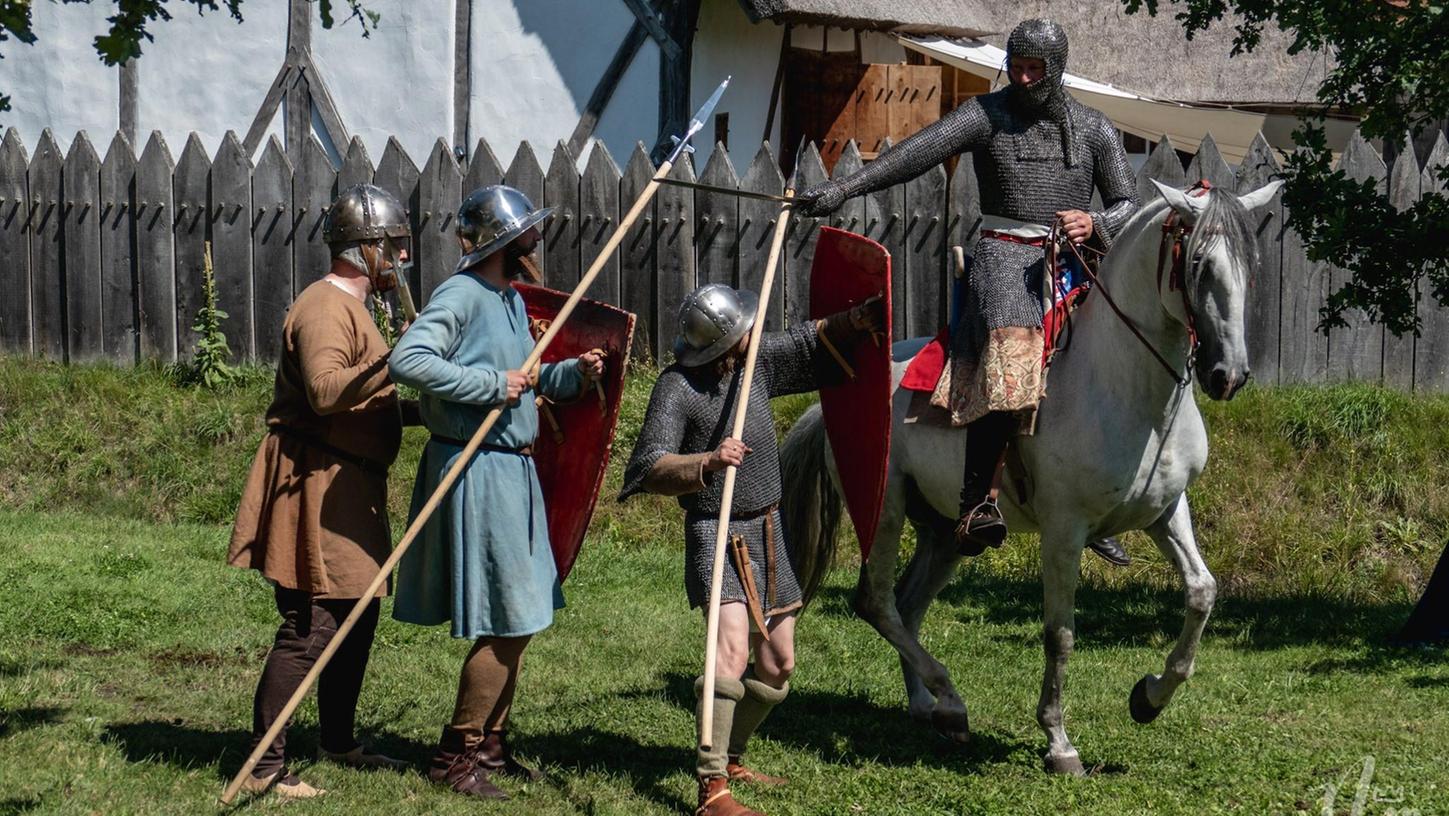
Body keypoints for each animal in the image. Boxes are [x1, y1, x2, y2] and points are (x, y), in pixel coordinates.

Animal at [782, 178, 1280, 771]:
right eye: (1199, 264)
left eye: (1251, 265)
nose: (1228, 374)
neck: (1126, 390)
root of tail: (827, 405)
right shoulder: (1063, 531)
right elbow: (1059, 634)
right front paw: (1059, 741)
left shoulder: (1166, 512)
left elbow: (1202, 593)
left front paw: (1149, 697)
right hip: (884, 509)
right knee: (876, 602)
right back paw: (950, 700)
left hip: (947, 533)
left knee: (906, 605)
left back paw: (930, 707)